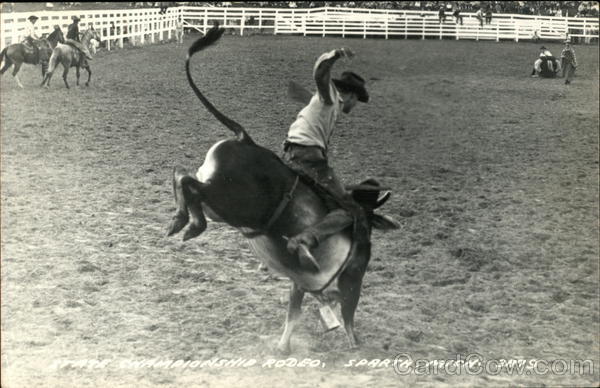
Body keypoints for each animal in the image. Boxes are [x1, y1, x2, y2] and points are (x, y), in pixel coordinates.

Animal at [166, 22, 398, 354]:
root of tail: (244, 139)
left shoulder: (299, 282)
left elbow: (295, 311)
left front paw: (283, 347)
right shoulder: (353, 276)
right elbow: (348, 313)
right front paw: (355, 344)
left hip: (221, 205)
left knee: (181, 175)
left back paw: (181, 221)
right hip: (230, 202)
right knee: (189, 183)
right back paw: (191, 225)